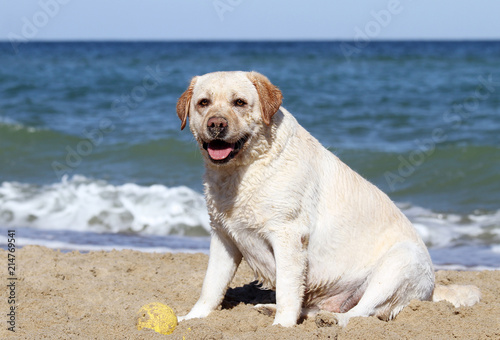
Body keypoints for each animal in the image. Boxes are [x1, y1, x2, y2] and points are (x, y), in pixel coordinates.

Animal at [176, 71, 480, 326]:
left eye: (239, 102)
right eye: (204, 103)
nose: (216, 124)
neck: (241, 172)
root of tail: (432, 290)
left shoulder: (287, 237)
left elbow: (287, 290)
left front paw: (282, 327)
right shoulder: (223, 237)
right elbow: (210, 288)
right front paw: (191, 319)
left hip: (396, 266)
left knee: (359, 313)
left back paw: (331, 321)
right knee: (317, 307)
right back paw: (273, 309)